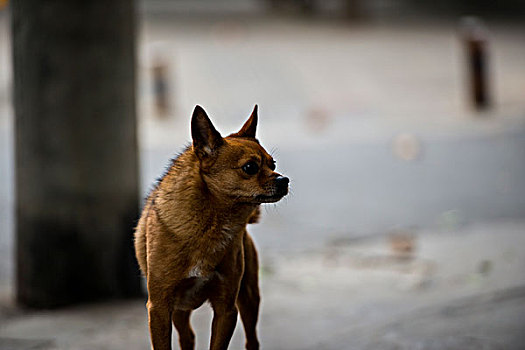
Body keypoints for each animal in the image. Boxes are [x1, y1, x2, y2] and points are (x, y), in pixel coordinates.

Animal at [133, 106, 288, 350]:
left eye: (273, 165)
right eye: (250, 167)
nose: (284, 180)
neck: (210, 225)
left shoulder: (226, 310)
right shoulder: (159, 308)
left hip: (249, 298)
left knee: (251, 340)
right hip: (179, 311)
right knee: (187, 337)